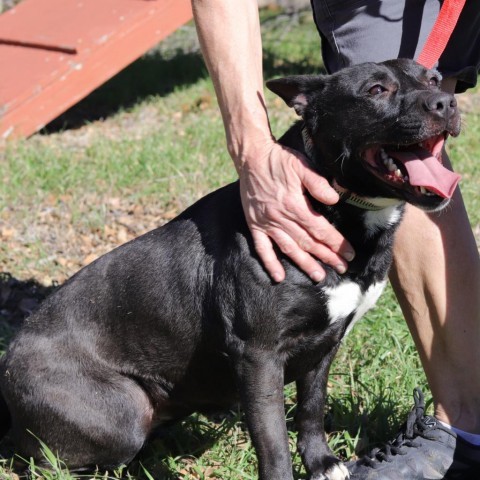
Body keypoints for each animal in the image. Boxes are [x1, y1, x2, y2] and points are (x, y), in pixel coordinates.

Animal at [0, 60, 460, 480]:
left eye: (435, 78)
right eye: (376, 90)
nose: (446, 102)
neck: (337, 209)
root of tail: (6, 369)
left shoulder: (324, 347)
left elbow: (311, 408)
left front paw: (321, 464)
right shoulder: (258, 356)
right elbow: (272, 440)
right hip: (120, 416)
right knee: (45, 461)